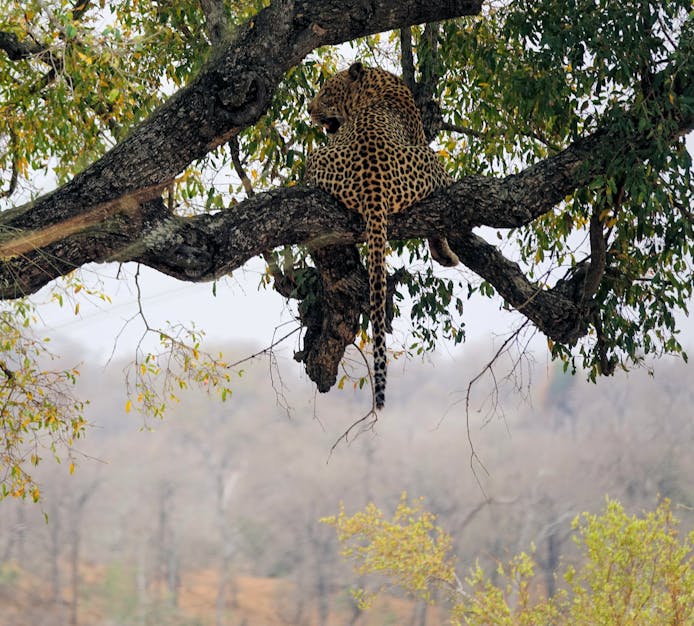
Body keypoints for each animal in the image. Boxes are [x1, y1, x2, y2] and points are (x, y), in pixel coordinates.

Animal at [304, 61, 458, 410]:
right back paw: (445, 253)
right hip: (430, 160)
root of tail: (373, 182)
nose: (309, 109)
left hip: (317, 159)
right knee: (446, 192)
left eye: (326, 93)